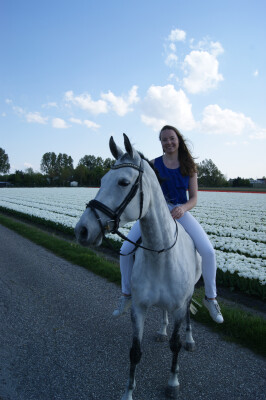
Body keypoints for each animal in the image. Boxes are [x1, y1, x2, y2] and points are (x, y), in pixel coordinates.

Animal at [75, 135, 202, 400]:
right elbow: (134, 352)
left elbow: (175, 345)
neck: (161, 255)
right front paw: (128, 393)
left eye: (123, 182)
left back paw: (189, 338)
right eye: (101, 180)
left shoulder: (178, 306)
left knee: (187, 315)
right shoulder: (139, 308)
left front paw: (173, 382)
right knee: (163, 313)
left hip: (190, 293)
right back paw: (162, 331)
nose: (82, 230)